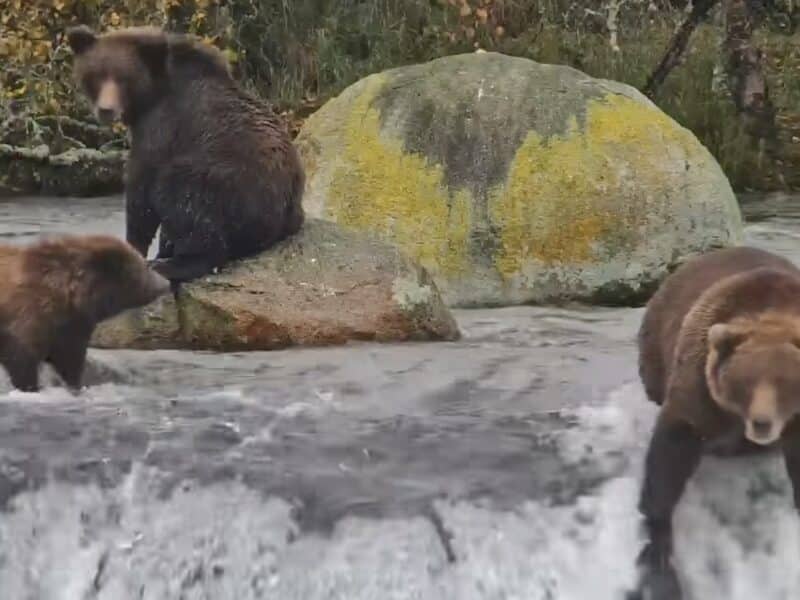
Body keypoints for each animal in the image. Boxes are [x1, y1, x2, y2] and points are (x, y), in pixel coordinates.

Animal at [0, 235, 170, 392]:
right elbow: (22, 359)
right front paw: (31, 386)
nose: (165, 283)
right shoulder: (28, 318)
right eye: (144, 267)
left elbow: (70, 359)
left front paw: (75, 384)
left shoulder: (71, 327)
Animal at [65, 25, 305, 283]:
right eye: (97, 75)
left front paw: (135, 247)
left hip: (227, 183)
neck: (151, 96)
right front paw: (160, 248)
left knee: (184, 200)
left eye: (123, 78)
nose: (106, 109)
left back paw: (170, 265)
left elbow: (142, 189)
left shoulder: (162, 127)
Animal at [629, 245, 800, 600]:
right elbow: (671, 451)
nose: (762, 424)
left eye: (786, 383)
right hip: (655, 347)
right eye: (746, 381)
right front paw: (660, 551)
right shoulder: (701, 390)